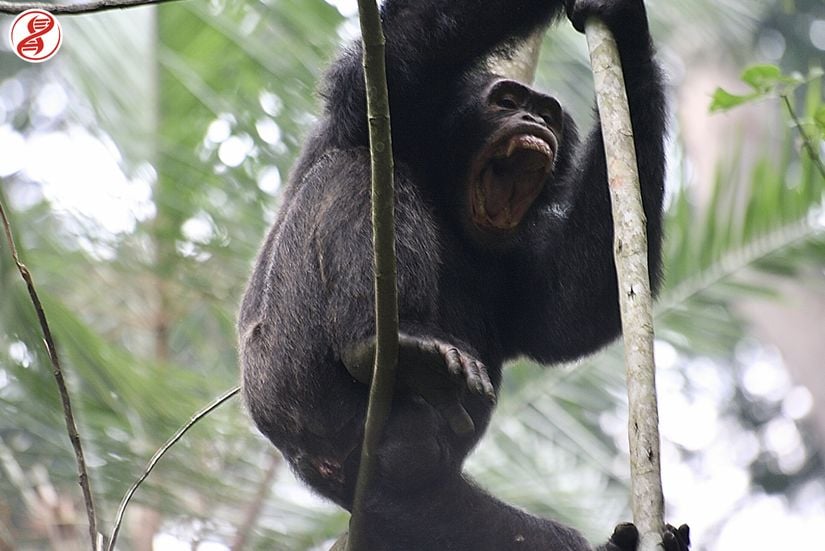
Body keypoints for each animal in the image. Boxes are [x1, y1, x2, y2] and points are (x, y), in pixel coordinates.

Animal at [240, 0, 688, 548]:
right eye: (507, 100)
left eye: (548, 115)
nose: (532, 118)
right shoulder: (375, 105)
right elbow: (394, 55)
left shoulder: (521, 263)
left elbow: (571, 307)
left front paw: (627, 30)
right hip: (293, 377)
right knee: (357, 169)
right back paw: (389, 345)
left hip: (423, 506)